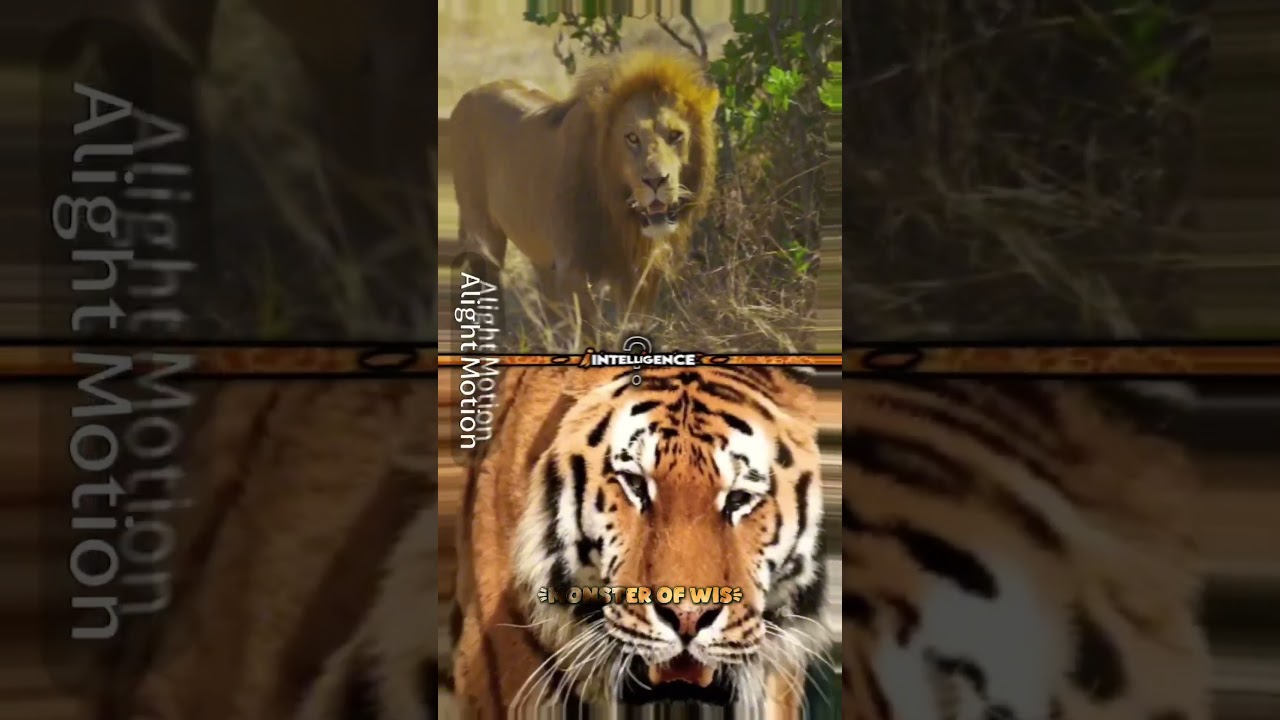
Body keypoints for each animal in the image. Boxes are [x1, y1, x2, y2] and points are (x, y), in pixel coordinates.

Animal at [449, 48, 720, 322]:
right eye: (632, 138)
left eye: (676, 135)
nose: (655, 180)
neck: (619, 213)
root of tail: (473, 92)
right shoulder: (573, 270)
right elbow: (591, 329)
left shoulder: (642, 273)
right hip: (483, 235)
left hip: (541, 255)